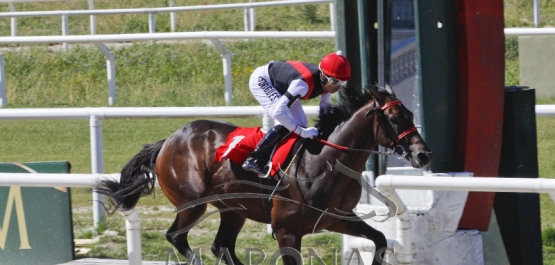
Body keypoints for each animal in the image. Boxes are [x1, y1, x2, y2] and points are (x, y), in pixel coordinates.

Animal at [99, 85, 434, 264]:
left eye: (411, 114)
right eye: (394, 118)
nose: (423, 154)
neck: (325, 161)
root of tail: (168, 140)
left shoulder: (337, 218)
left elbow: (379, 239)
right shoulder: (286, 230)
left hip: (233, 210)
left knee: (221, 245)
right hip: (192, 204)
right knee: (177, 237)